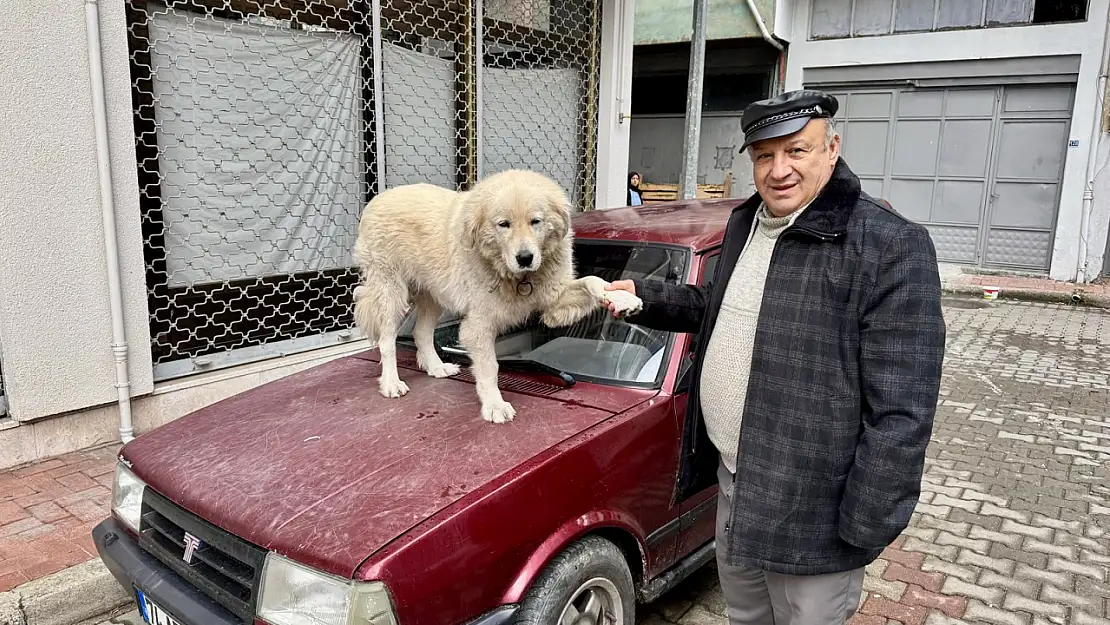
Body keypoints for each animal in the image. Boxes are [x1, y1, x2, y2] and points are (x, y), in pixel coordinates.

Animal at [350, 169, 648, 426]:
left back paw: (437, 368)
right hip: (391, 292)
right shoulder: (479, 324)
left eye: (535, 221)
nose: (525, 258)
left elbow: (592, 281)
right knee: (387, 341)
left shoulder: (554, 300)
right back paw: (391, 383)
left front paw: (623, 298)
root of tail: (377, 199)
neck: (517, 277)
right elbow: (489, 367)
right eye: (504, 224)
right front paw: (494, 405)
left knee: (420, 333)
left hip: (433, 295)